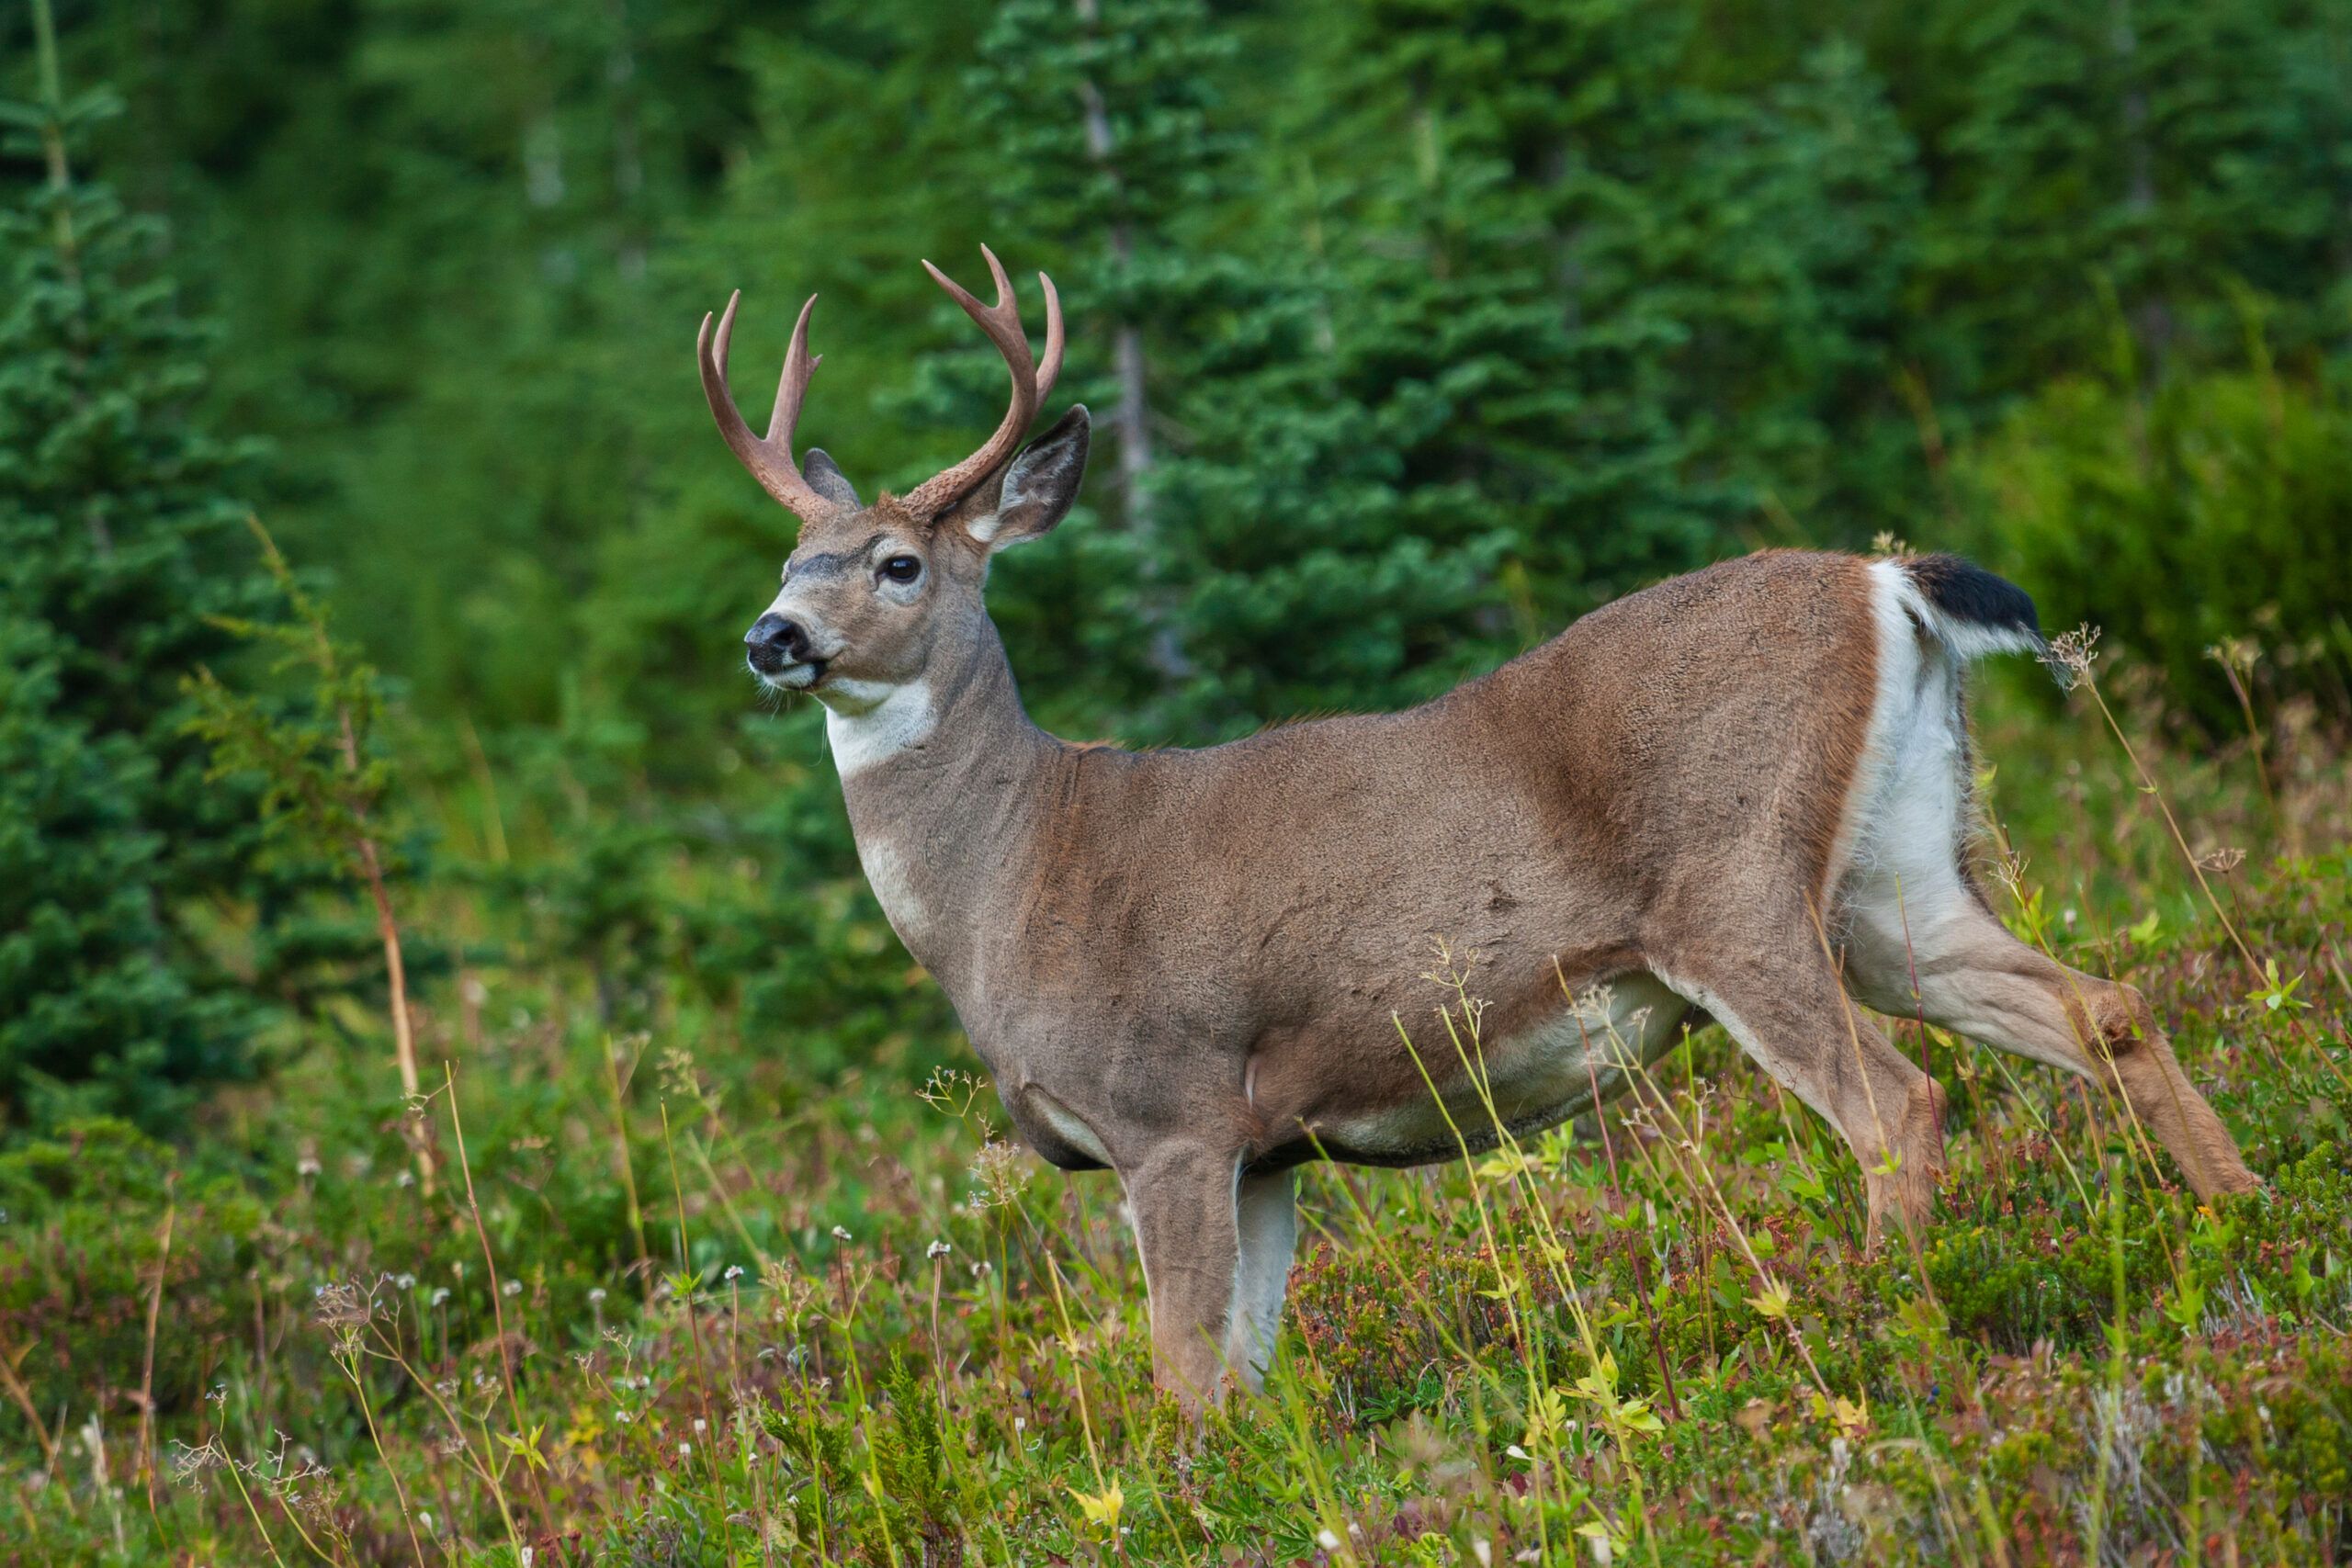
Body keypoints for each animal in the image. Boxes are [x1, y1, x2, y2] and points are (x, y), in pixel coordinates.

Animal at [697, 247, 2260, 1414]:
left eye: (898, 563)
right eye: (787, 558)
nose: (770, 637)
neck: (1018, 874)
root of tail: (1883, 585)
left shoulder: (1173, 1109)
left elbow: (1185, 1379)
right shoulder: (1269, 1146)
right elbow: (1246, 1381)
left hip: (1731, 884)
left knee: (1899, 1102)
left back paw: (1888, 1318)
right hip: (1890, 875)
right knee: (2098, 1000)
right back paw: (2243, 1214)